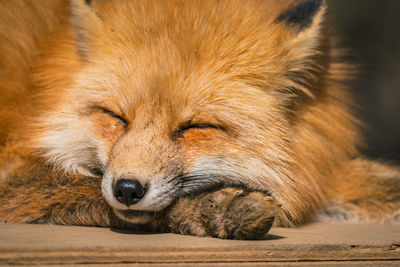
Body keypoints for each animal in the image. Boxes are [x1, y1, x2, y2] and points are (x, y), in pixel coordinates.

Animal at [0, 0, 398, 241]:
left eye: (196, 127)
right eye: (116, 117)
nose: (127, 189)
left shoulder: (318, 166)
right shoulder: (14, 172)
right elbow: (84, 187)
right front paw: (217, 209)